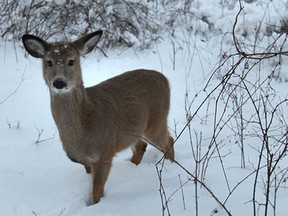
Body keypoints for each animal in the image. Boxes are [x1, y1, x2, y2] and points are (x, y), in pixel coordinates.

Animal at [22, 30, 173, 204]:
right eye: (49, 62)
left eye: (71, 61)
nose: (59, 82)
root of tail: (164, 78)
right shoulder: (86, 162)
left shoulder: (105, 152)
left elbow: (97, 192)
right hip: (136, 130)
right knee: (140, 147)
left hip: (157, 121)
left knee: (168, 141)